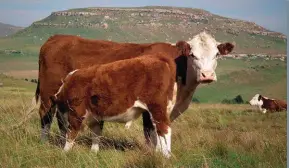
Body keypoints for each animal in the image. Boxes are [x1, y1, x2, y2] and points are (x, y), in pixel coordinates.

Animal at [35, 31, 234, 144]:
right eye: (192, 54)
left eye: (216, 54)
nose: (207, 75)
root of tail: (55, 38)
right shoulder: (151, 106)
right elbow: (151, 135)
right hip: (48, 93)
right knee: (46, 116)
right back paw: (44, 144)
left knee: (61, 120)